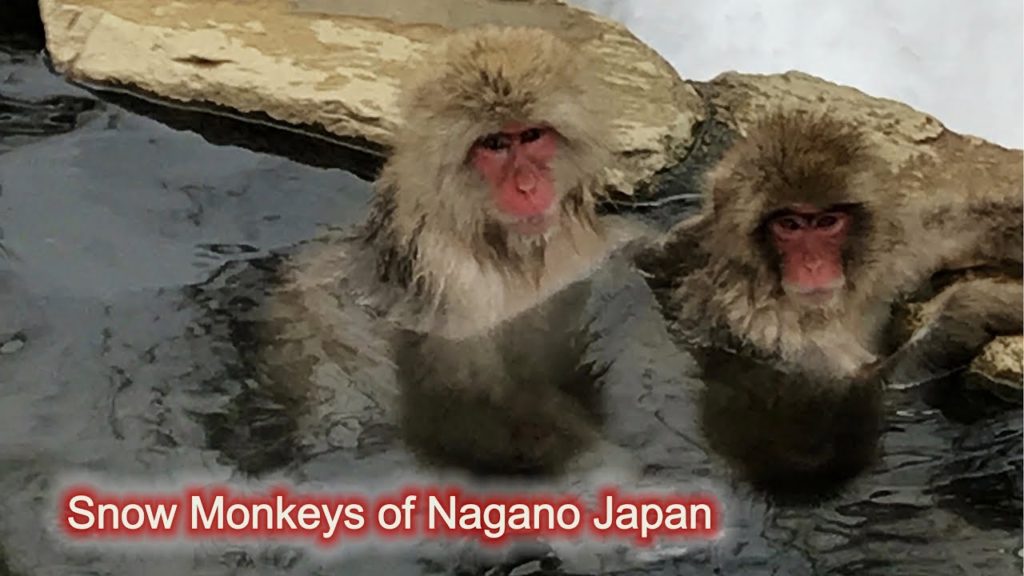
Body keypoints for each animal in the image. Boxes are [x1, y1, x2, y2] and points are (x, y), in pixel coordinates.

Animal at [636, 109, 1023, 389]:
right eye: (789, 225)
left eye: (826, 222)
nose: (813, 264)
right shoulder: (765, 330)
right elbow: (863, 387)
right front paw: (980, 305)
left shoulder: (889, 250)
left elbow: (942, 232)